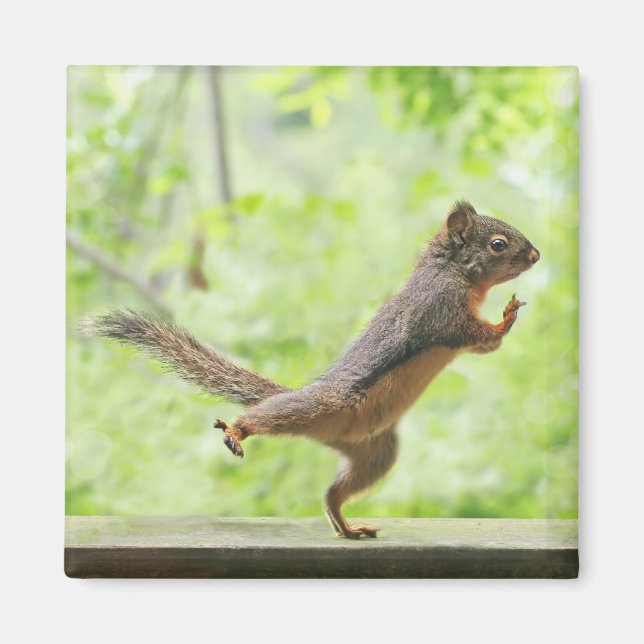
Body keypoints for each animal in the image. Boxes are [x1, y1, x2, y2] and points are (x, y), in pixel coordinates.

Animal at [84, 200, 540, 539]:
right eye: (498, 244)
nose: (536, 255)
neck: (453, 271)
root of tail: (333, 431)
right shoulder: (440, 310)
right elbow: (474, 333)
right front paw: (505, 317)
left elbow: (485, 347)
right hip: (316, 407)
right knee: (263, 417)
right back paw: (238, 430)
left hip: (375, 453)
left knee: (333, 495)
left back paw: (347, 526)